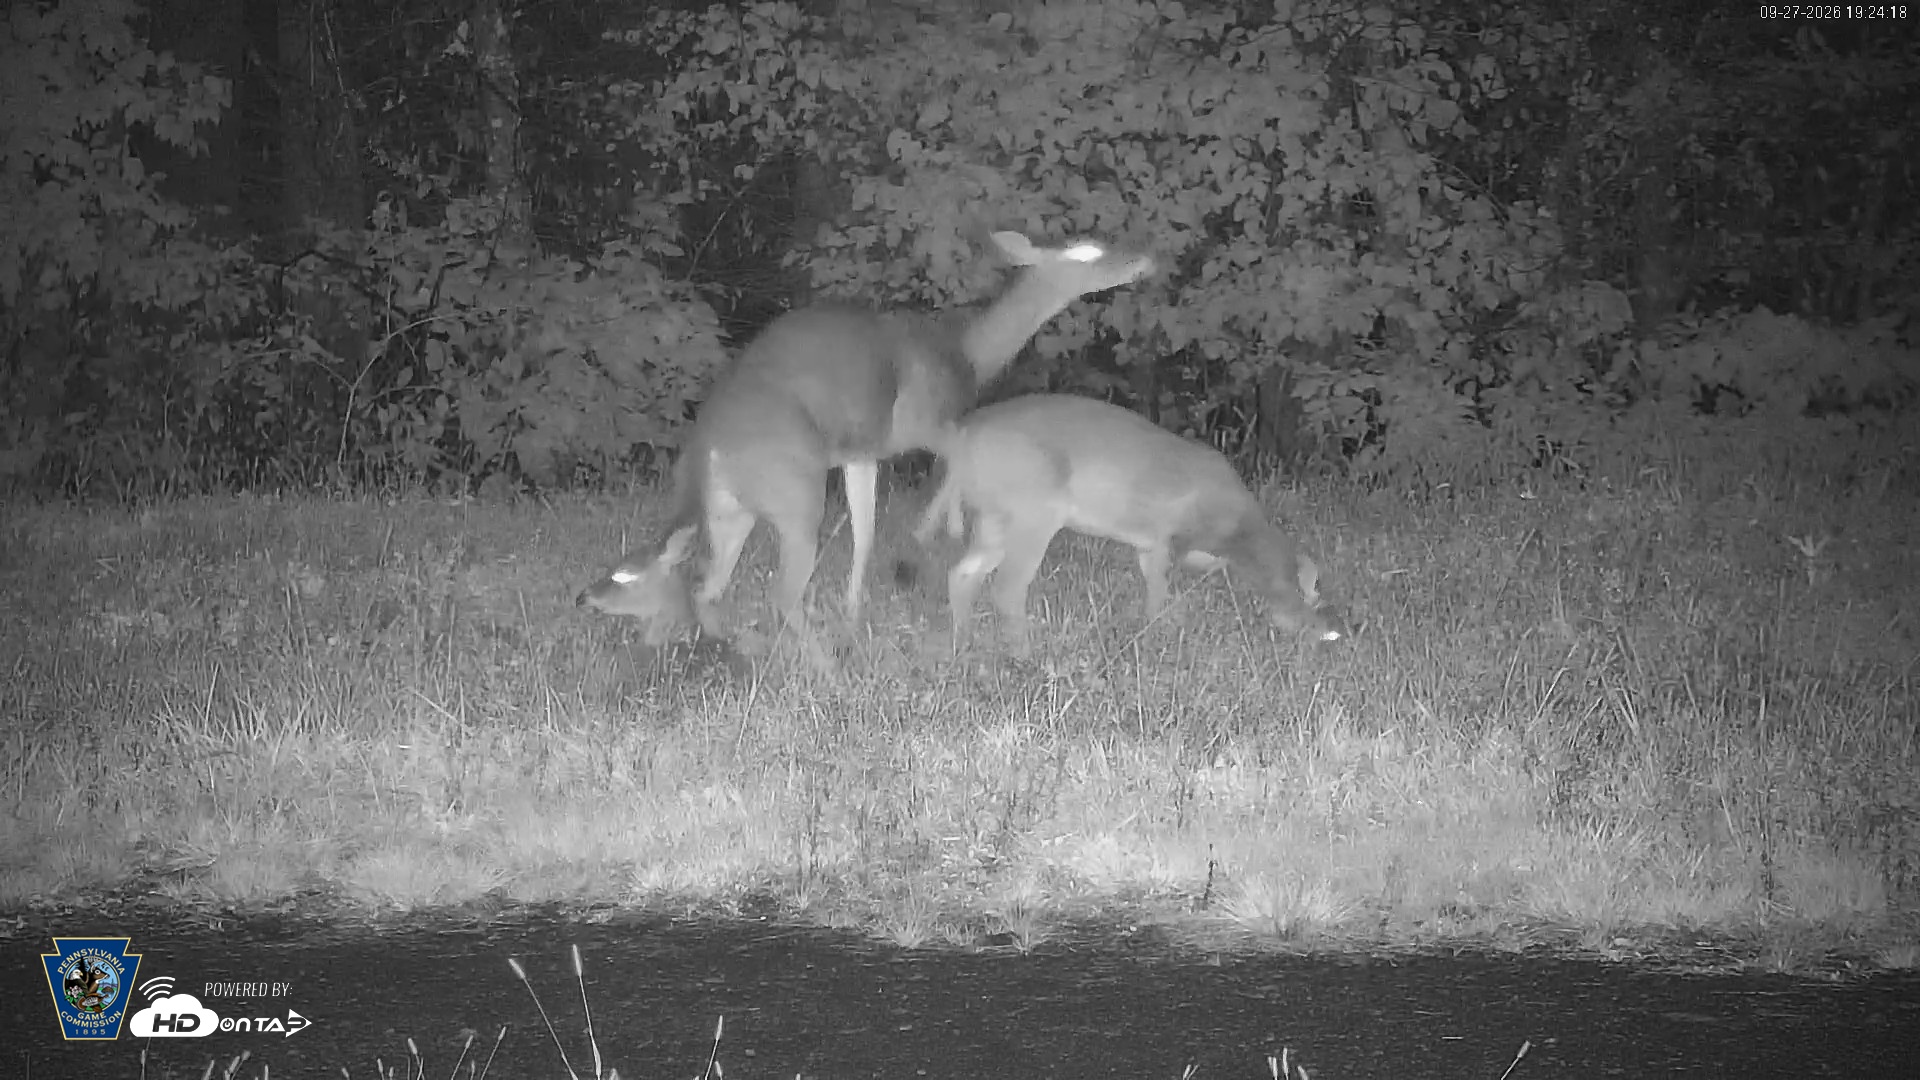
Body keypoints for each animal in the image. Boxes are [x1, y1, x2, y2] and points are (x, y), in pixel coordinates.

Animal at [576, 231, 1155, 647]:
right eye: (1088, 251)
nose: (1144, 258)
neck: (966, 357)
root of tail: (704, 451)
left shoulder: (862, 451)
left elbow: (867, 531)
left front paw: (855, 610)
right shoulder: (928, 421)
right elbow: (951, 466)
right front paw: (936, 532)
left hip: (730, 510)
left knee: (705, 584)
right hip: (794, 492)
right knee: (777, 590)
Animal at [910, 393, 1346, 653]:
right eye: (1309, 592)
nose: (1333, 629)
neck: (1235, 531)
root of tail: (961, 438)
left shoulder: (1150, 544)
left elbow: (1156, 587)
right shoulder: (1169, 537)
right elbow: (1161, 590)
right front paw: (1159, 636)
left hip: (994, 518)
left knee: (962, 573)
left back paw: (964, 642)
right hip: (1033, 511)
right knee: (1006, 587)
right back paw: (1024, 651)